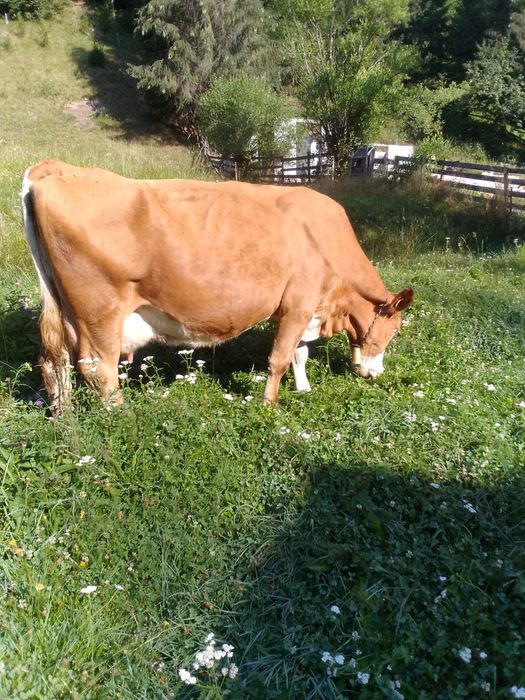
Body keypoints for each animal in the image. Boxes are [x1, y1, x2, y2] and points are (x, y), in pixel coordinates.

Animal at [21, 160, 413, 413]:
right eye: (394, 330)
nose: (376, 373)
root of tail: (55, 169)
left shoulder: (304, 309)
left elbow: (299, 353)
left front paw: (303, 389)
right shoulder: (299, 304)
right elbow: (280, 359)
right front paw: (269, 407)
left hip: (64, 310)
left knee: (54, 360)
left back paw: (63, 415)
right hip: (100, 311)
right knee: (97, 367)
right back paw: (118, 415)